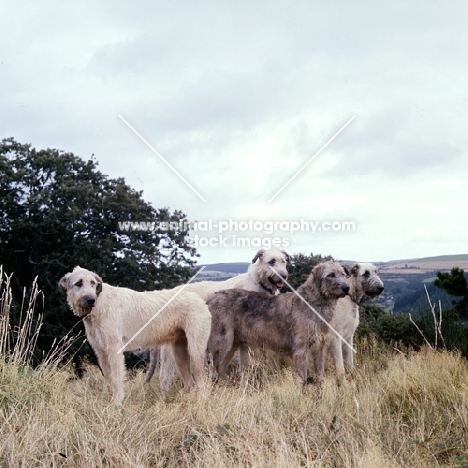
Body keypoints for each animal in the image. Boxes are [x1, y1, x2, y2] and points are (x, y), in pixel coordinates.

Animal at [59, 266, 212, 404]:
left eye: (92, 283)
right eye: (78, 283)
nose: (91, 300)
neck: (100, 303)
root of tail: (200, 299)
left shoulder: (114, 350)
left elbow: (116, 378)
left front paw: (117, 404)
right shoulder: (101, 352)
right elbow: (108, 377)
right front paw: (109, 401)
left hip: (195, 351)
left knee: (202, 382)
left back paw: (201, 402)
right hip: (179, 353)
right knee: (191, 383)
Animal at [155, 249, 290, 388]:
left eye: (283, 261)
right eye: (271, 261)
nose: (284, 276)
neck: (258, 283)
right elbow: (245, 364)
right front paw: (245, 385)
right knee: (165, 373)